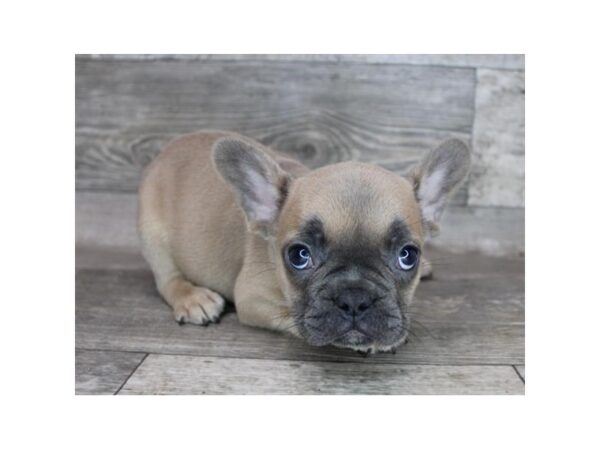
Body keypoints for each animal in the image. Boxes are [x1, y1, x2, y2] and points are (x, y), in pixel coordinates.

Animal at [138, 132, 472, 354]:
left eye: (407, 255)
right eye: (299, 256)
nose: (354, 298)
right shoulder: (252, 298)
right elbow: (294, 319)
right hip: (153, 236)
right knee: (167, 279)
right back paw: (192, 298)